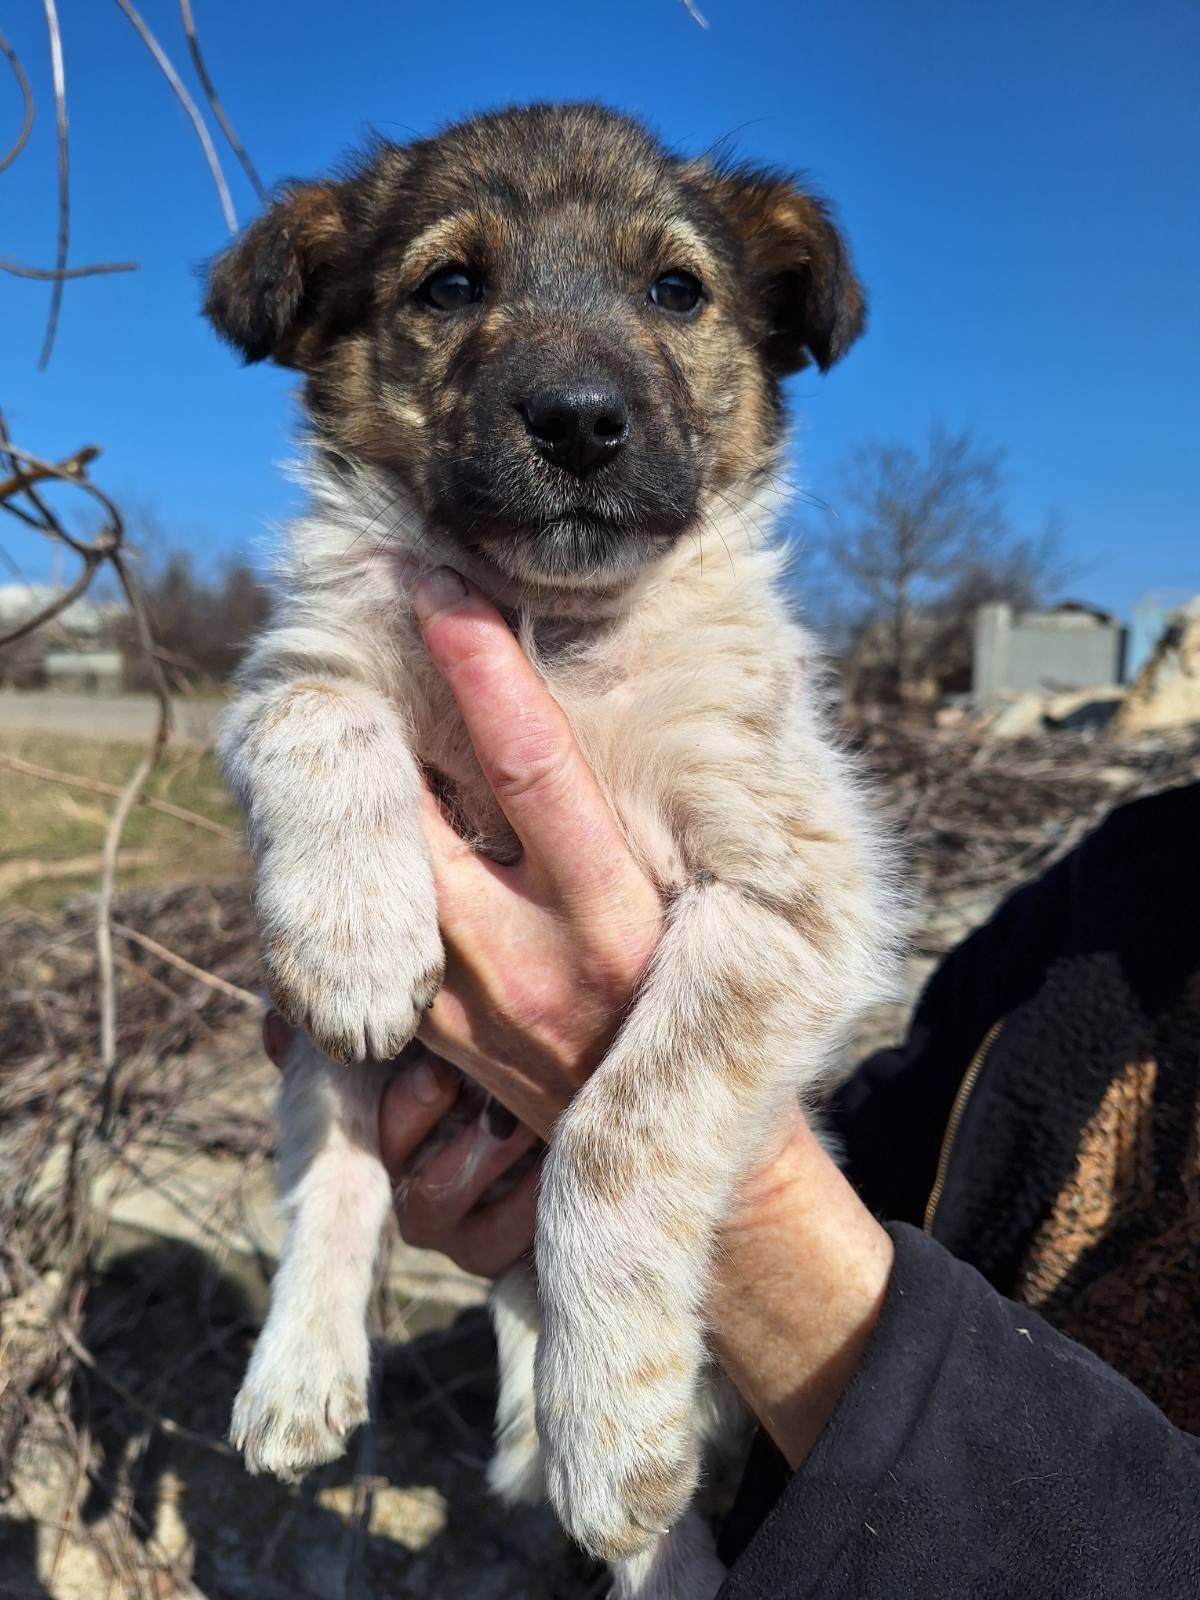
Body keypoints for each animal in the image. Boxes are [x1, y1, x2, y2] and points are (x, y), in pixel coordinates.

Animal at [206, 103, 902, 1600]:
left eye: (678, 290)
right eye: (451, 285)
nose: (580, 422)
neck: (550, 621)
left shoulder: (796, 895)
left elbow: (614, 1136)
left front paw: (612, 1432)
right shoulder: (301, 664)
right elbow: (321, 712)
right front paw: (361, 932)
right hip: (305, 1060)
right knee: (333, 1175)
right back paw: (301, 1375)